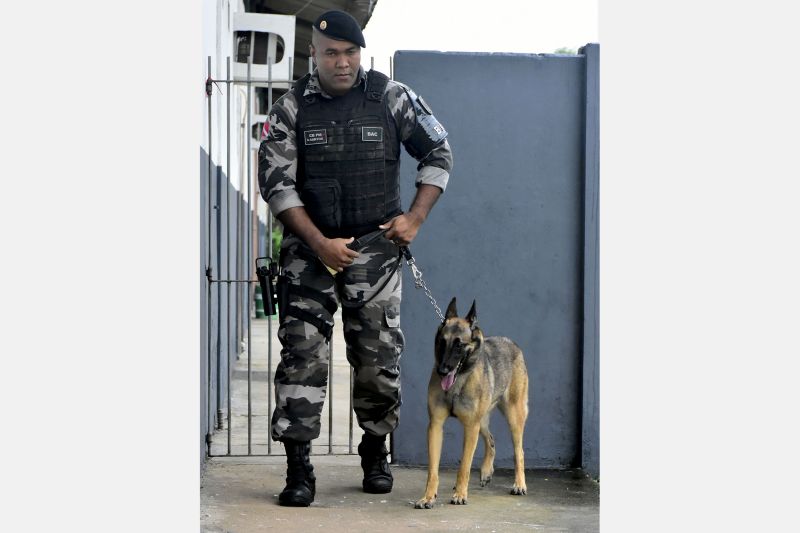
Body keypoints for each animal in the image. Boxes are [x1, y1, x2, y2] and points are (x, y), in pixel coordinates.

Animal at [416, 296, 528, 508]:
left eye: (459, 345)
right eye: (442, 342)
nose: (442, 371)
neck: (458, 381)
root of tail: (512, 343)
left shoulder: (470, 427)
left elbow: (464, 466)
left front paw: (460, 494)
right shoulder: (436, 426)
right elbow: (432, 470)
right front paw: (428, 496)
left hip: (512, 417)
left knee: (519, 452)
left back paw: (519, 484)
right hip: (481, 422)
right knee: (491, 440)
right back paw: (486, 471)